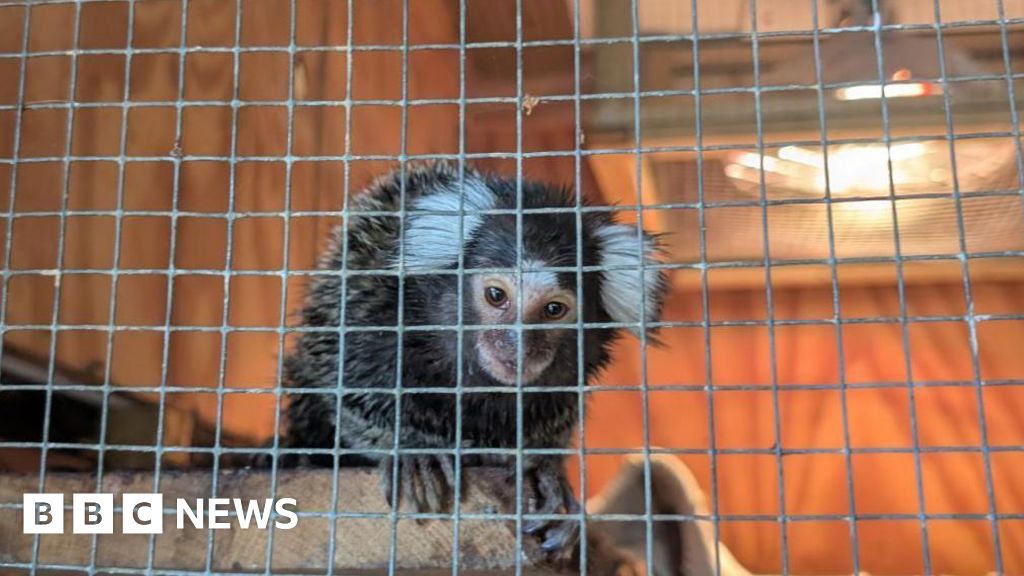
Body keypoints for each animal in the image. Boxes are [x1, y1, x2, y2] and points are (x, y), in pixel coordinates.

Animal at [277, 161, 667, 565]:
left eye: (554, 309)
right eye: (496, 295)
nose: (517, 346)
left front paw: (544, 472)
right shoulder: (368, 307)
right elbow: (351, 391)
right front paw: (413, 452)